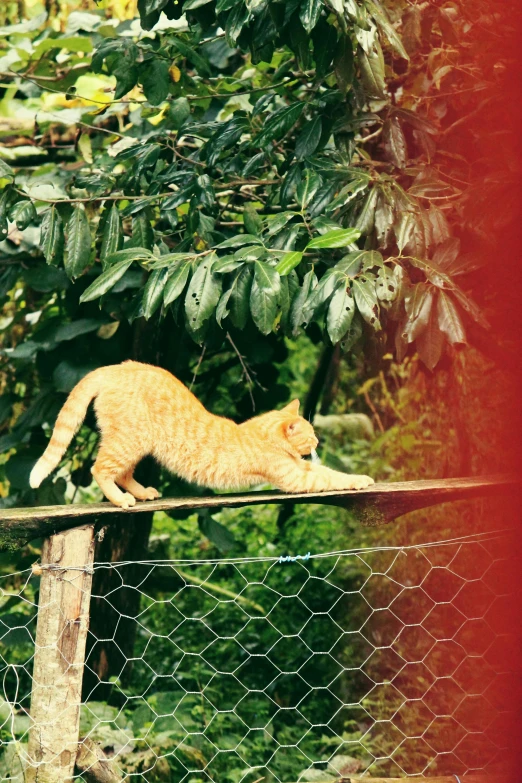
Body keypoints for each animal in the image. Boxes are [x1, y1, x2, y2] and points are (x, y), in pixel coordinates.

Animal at [28, 362, 372, 508]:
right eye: (311, 436)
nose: (318, 443)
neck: (259, 432)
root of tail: (115, 367)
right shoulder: (295, 476)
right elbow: (332, 477)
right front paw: (363, 479)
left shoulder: (299, 468)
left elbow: (331, 473)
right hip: (127, 441)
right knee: (99, 469)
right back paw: (121, 500)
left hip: (136, 444)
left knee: (123, 473)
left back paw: (142, 493)